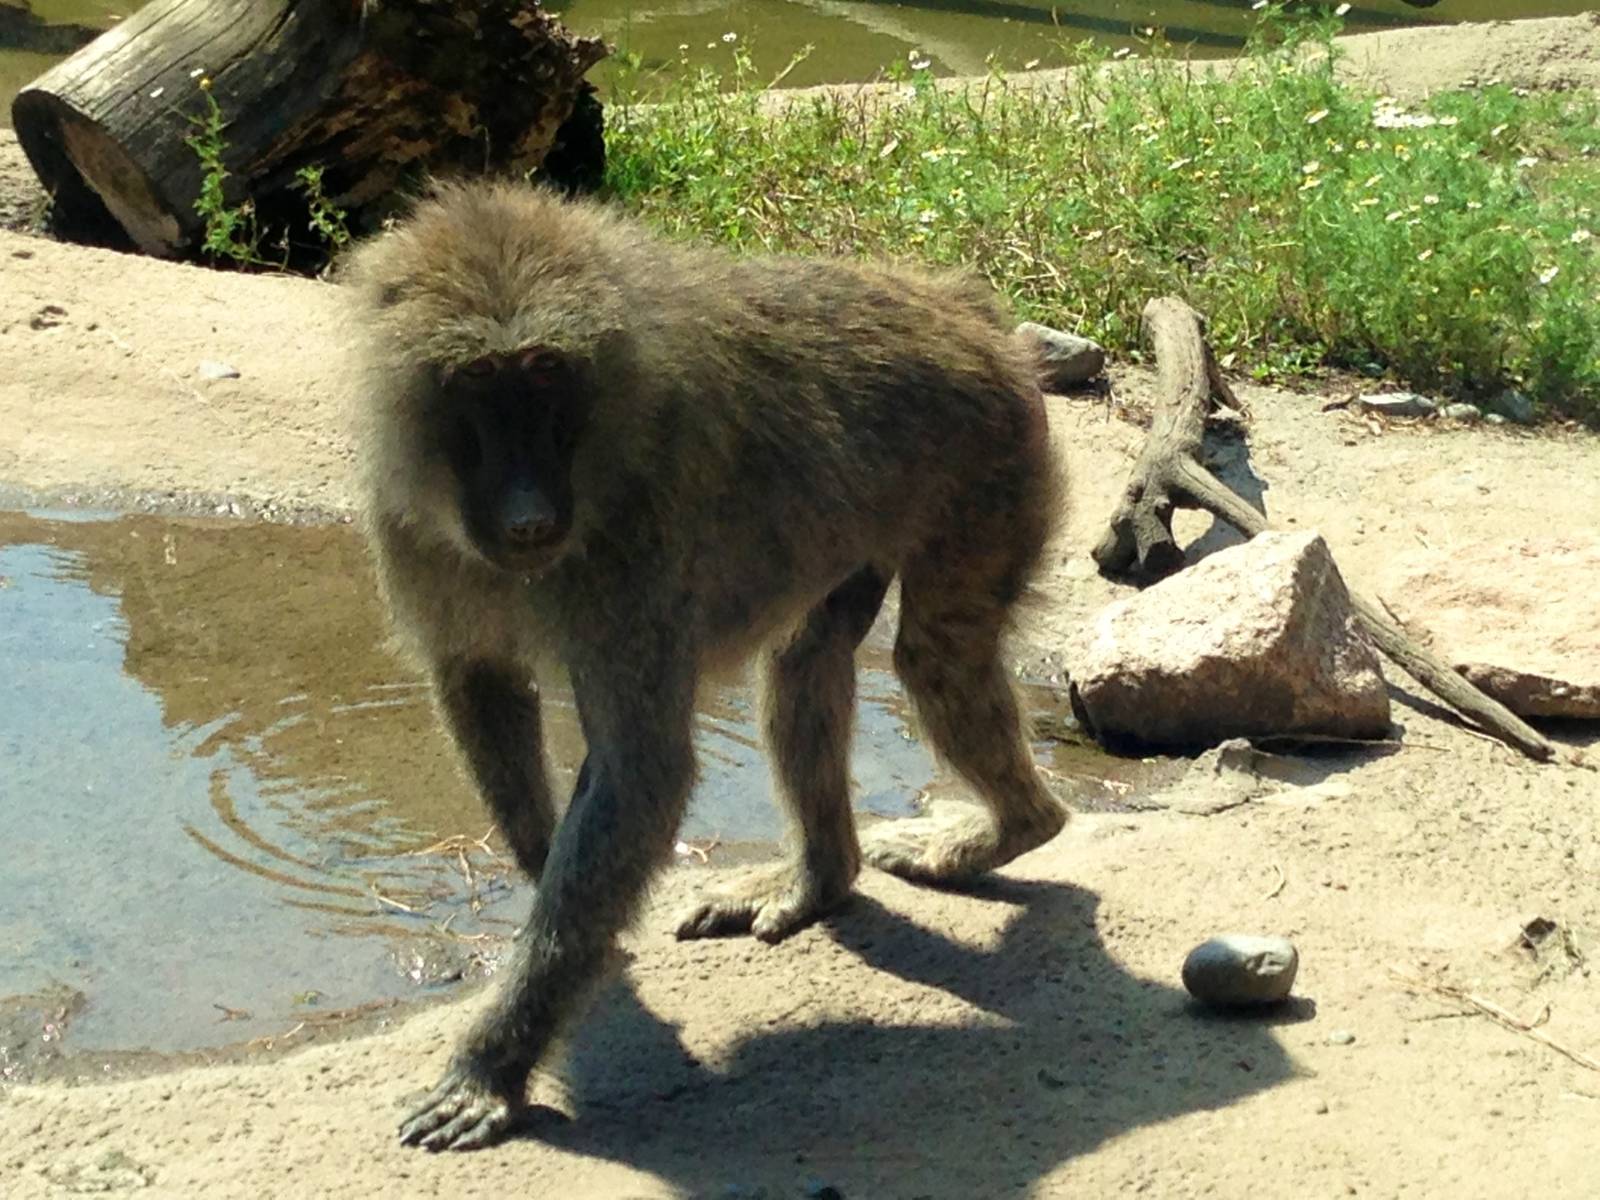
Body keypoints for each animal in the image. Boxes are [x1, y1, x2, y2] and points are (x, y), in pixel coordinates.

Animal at [341, 180, 1068, 1151]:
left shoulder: (636, 546)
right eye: (480, 387)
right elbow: (481, 689)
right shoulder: (417, 532)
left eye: (545, 378)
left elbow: (640, 773)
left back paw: (1015, 828)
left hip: (990, 459)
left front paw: (491, 1067)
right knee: (807, 659)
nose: (531, 519)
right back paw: (820, 879)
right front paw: (551, 886)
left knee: (935, 656)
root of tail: (955, 304)